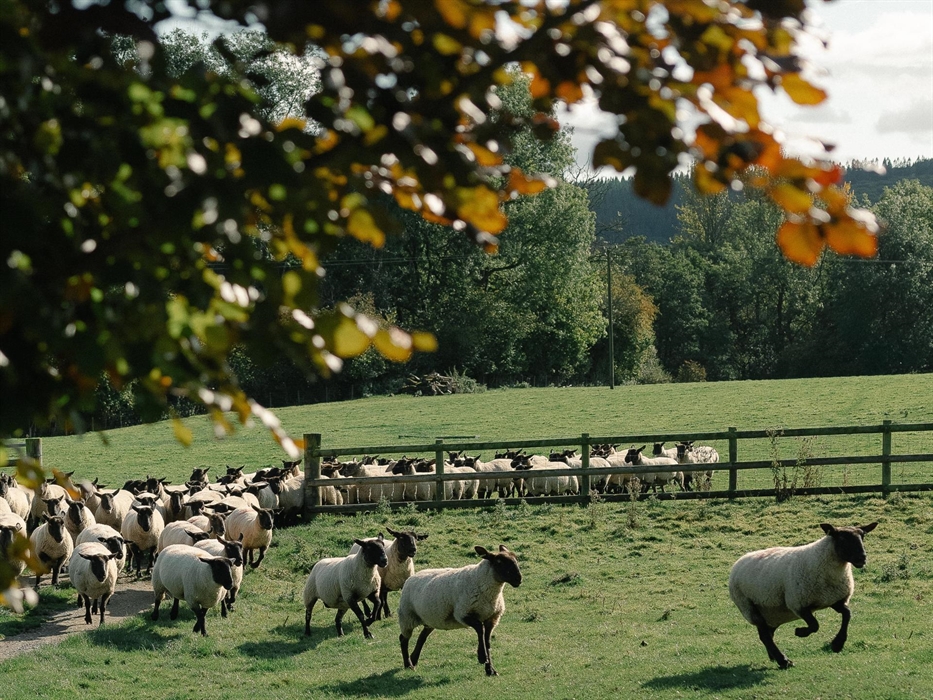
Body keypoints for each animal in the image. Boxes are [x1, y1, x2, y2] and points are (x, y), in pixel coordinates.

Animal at [398, 544, 522, 677]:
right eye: (499, 562)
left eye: (516, 559)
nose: (519, 579)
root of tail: (412, 577)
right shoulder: (463, 613)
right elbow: (480, 629)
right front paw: (482, 657)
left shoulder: (492, 618)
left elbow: (487, 642)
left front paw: (490, 670)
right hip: (407, 616)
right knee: (403, 639)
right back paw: (408, 664)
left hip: (430, 619)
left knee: (422, 637)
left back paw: (413, 659)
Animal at [728, 521, 878, 669]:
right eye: (841, 538)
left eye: (863, 536)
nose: (862, 558)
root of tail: (740, 561)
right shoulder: (798, 604)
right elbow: (814, 625)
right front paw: (800, 632)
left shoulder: (834, 600)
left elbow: (847, 614)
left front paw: (837, 644)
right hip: (750, 607)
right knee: (765, 636)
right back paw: (783, 661)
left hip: (772, 612)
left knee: (768, 634)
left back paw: (774, 657)